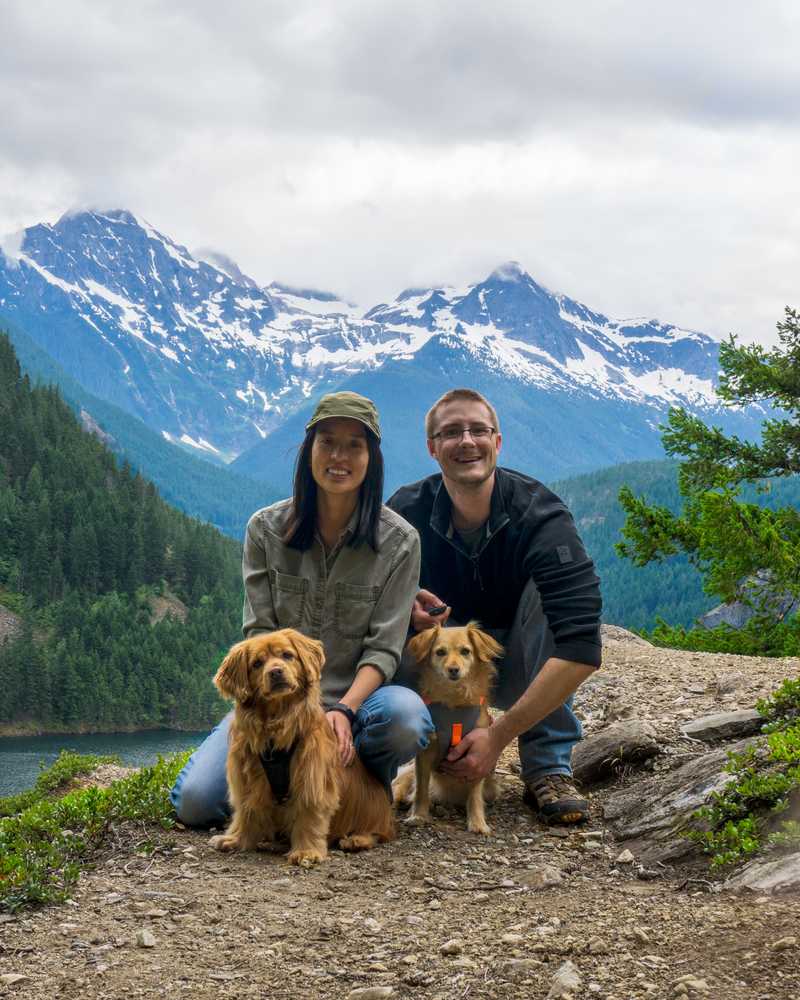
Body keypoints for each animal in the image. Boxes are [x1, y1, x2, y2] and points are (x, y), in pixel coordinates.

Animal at [206, 628, 394, 864]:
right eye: (257, 663)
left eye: (287, 655)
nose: (276, 672)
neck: (276, 722)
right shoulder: (246, 776)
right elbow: (246, 810)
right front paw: (237, 839)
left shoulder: (311, 777)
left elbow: (309, 815)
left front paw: (306, 851)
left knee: (377, 833)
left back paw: (356, 840)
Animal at [396, 624, 504, 836]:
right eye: (440, 652)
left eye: (465, 651)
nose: (453, 669)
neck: (453, 702)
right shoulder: (425, 754)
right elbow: (421, 788)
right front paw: (418, 815)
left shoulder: (477, 756)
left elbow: (474, 795)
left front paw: (478, 822)